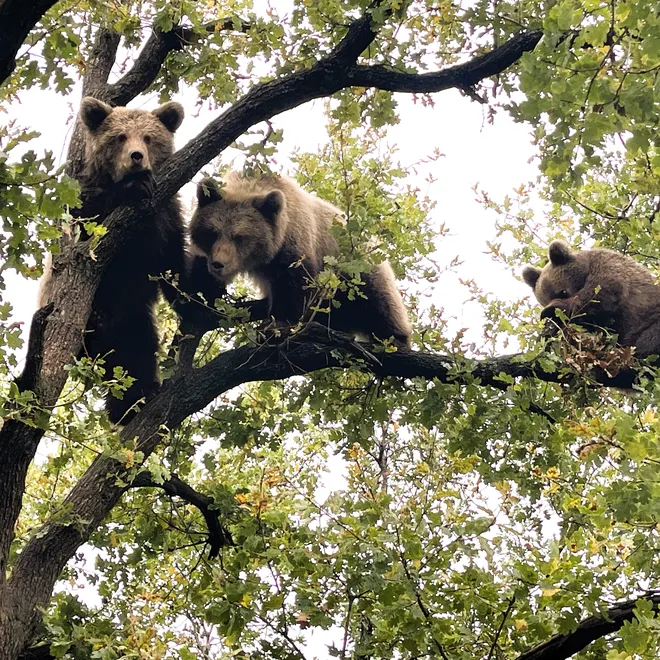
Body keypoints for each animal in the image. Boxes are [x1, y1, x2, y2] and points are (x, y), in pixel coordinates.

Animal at [38, 97, 187, 424]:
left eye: (149, 138)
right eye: (119, 137)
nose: (136, 157)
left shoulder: (168, 219)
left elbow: (171, 262)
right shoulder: (86, 204)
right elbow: (92, 220)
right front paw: (134, 186)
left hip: (133, 316)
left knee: (136, 354)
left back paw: (137, 400)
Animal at [187, 173, 412, 346]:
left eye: (240, 237)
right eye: (212, 233)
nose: (218, 264)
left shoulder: (295, 244)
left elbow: (294, 287)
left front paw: (276, 326)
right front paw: (200, 300)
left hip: (357, 272)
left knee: (380, 305)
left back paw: (394, 340)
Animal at [522, 239, 660, 357]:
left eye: (563, 292)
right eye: (544, 301)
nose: (549, 308)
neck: (587, 267)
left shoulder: (609, 270)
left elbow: (596, 296)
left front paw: (553, 309)